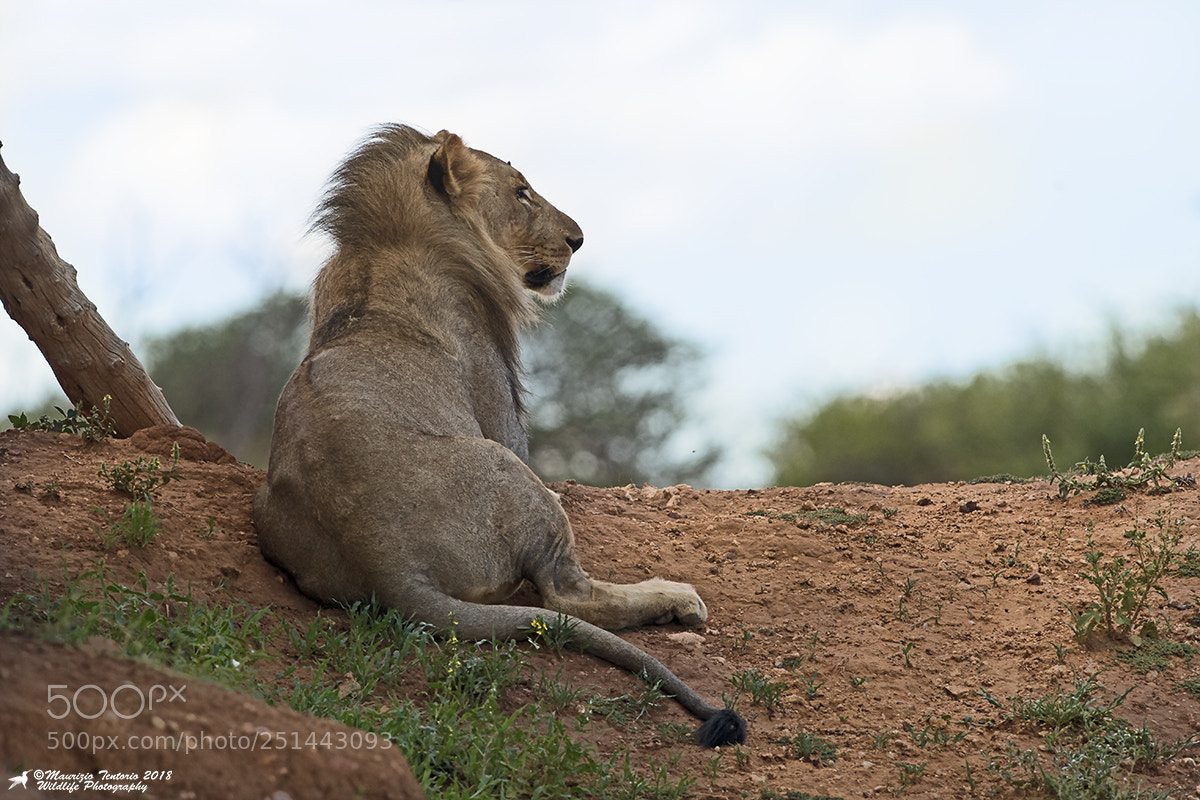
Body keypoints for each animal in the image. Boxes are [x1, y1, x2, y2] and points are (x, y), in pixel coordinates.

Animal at [253, 125, 745, 748]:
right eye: (521, 192)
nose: (577, 239)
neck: (391, 247)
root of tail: (385, 565)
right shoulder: (501, 408)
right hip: (501, 467)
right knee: (569, 596)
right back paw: (676, 598)